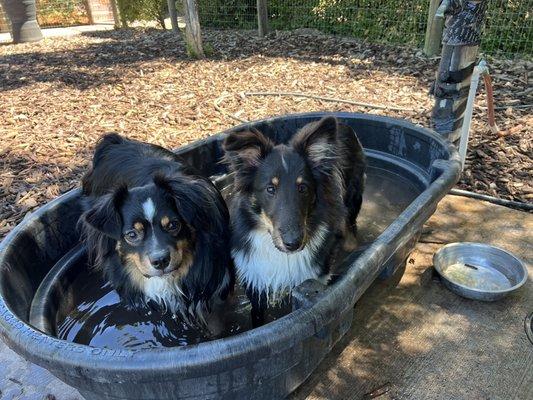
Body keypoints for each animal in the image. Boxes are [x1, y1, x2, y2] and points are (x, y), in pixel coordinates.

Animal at [221, 116, 366, 324]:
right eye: (270, 189)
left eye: (303, 188)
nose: (293, 244)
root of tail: (343, 122)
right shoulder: (255, 276)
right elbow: (257, 314)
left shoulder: (315, 276)